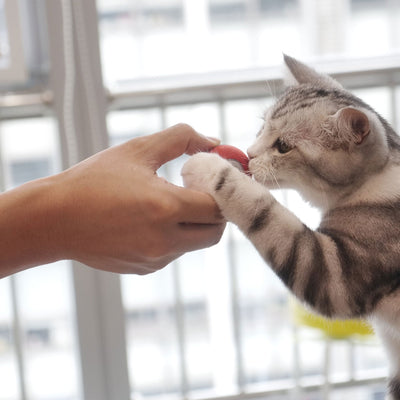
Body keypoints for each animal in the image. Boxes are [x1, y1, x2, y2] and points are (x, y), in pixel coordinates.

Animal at [182, 54, 400, 400]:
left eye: (283, 146)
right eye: (262, 125)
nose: (249, 153)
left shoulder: (336, 275)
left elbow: (265, 213)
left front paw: (210, 168)